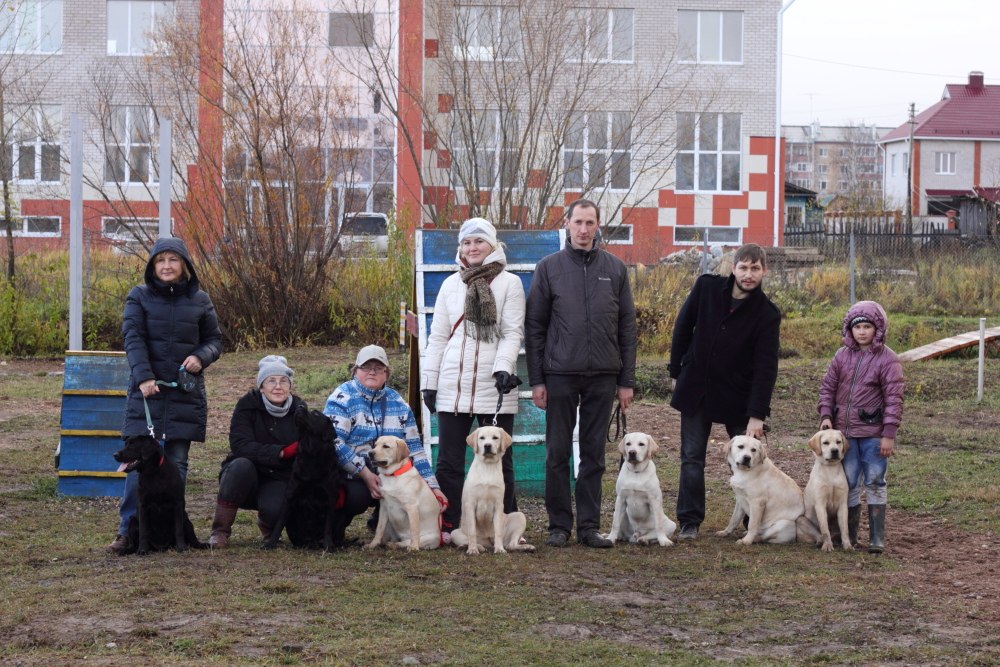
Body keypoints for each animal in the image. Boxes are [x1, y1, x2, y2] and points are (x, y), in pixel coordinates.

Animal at [264, 408, 350, 552]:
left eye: (315, 414)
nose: (299, 407)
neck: (311, 454)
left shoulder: (330, 498)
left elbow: (327, 526)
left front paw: (329, 546)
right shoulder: (290, 496)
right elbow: (279, 523)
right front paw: (270, 543)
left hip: (340, 515)